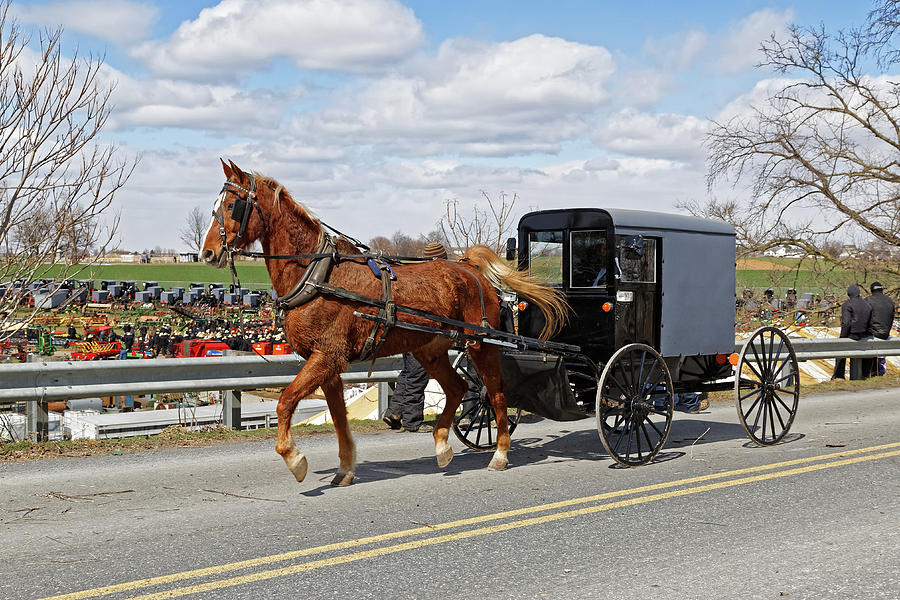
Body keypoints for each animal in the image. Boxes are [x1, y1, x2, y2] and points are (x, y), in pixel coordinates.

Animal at [203, 161, 568, 488]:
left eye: (233, 205)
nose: (207, 253)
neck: (317, 275)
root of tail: (468, 266)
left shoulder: (326, 357)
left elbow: (285, 402)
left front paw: (294, 458)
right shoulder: (328, 363)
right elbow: (338, 418)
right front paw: (345, 468)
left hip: (480, 345)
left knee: (495, 393)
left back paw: (500, 453)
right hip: (429, 350)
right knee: (457, 388)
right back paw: (441, 445)